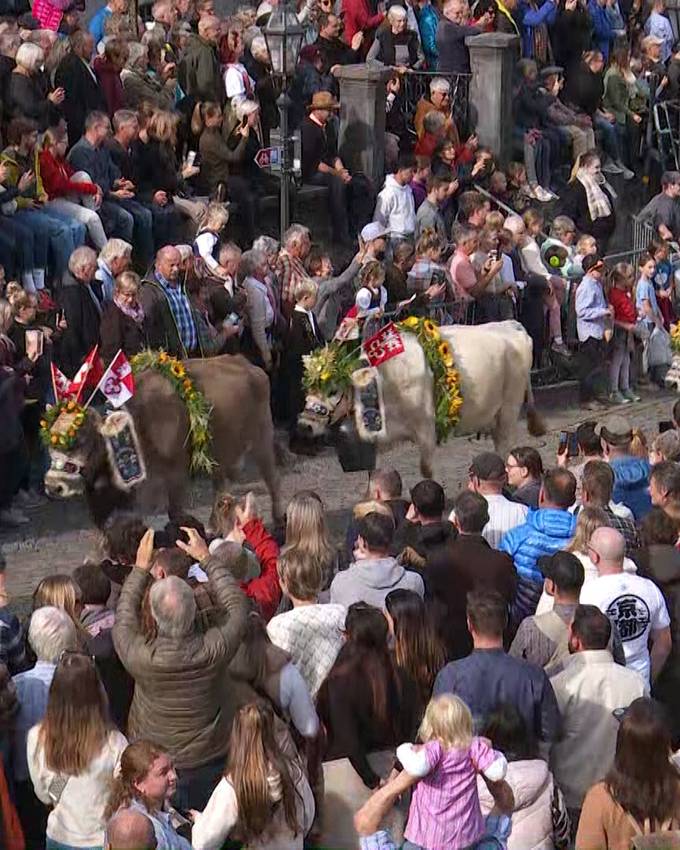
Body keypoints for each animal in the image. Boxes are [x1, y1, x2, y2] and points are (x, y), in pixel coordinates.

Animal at [43, 350, 280, 524]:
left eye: (81, 440)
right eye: (49, 442)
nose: (53, 486)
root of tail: (246, 363)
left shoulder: (176, 472)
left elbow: (174, 512)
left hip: (262, 438)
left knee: (271, 478)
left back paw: (278, 520)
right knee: (221, 485)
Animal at [298, 318, 548, 476]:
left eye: (333, 390)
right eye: (307, 389)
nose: (303, 426)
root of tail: (510, 325)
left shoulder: (427, 428)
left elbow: (426, 470)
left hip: (509, 408)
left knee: (504, 446)